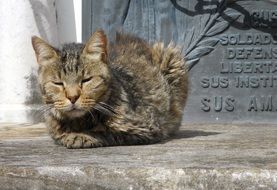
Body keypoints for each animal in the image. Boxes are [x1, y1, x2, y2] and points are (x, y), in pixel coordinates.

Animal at [32, 30, 188, 148]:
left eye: (86, 80)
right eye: (58, 83)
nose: (72, 97)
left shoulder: (146, 127)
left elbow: (107, 132)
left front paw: (81, 136)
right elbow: (60, 135)